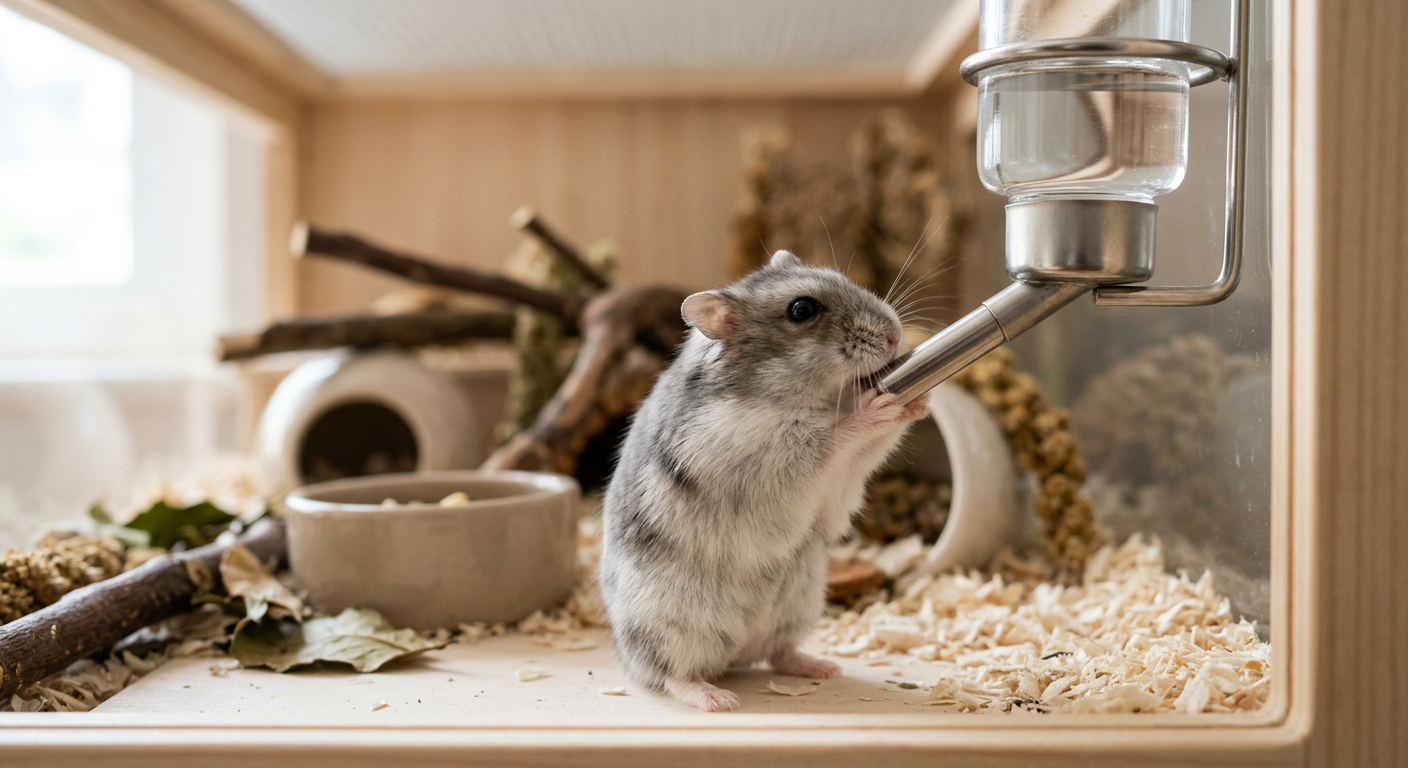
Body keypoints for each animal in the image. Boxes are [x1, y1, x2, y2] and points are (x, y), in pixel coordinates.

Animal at [598, 250, 928, 712]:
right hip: (673, 624)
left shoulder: (846, 477)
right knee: (672, 674)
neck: (790, 395)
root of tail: (734, 655)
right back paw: (718, 699)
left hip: (799, 603)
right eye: (802, 310)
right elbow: (833, 437)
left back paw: (823, 668)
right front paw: (874, 406)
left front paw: (920, 399)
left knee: (777, 652)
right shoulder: (768, 455)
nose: (895, 337)